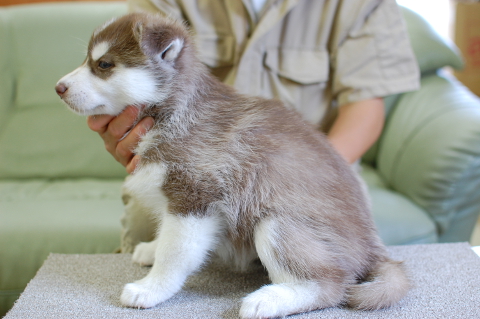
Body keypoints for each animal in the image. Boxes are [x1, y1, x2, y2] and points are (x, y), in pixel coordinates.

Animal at [55, 13, 408, 319]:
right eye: (88, 60)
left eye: (103, 64)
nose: (58, 88)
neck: (173, 110)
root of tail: (372, 245)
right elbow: (167, 240)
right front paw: (152, 250)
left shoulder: (195, 198)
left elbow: (175, 254)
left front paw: (151, 288)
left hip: (278, 224)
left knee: (330, 284)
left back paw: (268, 300)